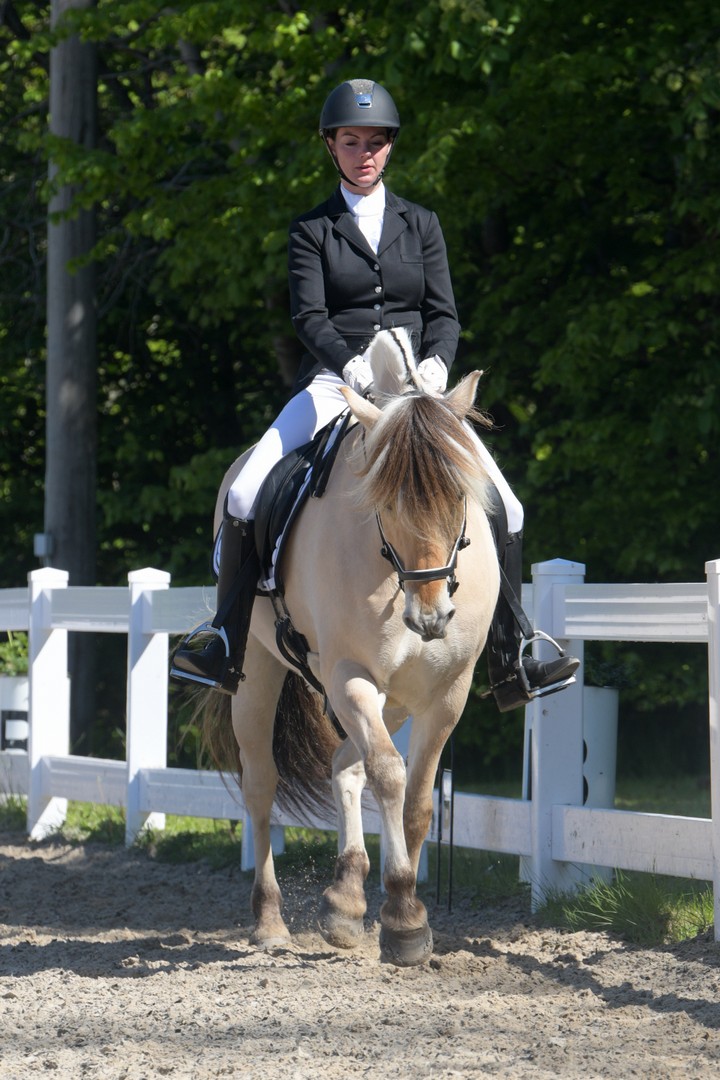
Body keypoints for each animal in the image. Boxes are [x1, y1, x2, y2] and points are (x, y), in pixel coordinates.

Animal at [199, 329, 500, 966]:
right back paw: (271, 920)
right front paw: (404, 914)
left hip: (398, 696)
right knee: (262, 785)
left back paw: (346, 897)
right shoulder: (349, 675)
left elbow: (418, 799)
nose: (431, 618)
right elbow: (388, 773)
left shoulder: (446, 691)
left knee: (344, 763)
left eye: (463, 495)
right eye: (382, 502)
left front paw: (397, 912)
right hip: (259, 671)